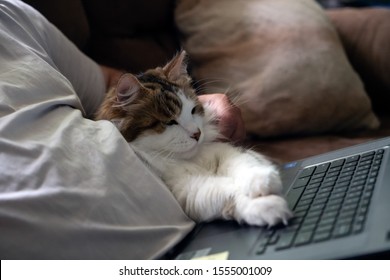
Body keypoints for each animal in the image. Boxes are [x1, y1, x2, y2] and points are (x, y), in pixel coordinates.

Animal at [95, 49, 292, 225]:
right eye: (169, 122)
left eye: (193, 110)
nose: (197, 133)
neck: (192, 161)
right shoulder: (186, 189)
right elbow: (225, 190)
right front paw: (268, 206)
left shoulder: (225, 150)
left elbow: (243, 163)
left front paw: (261, 180)